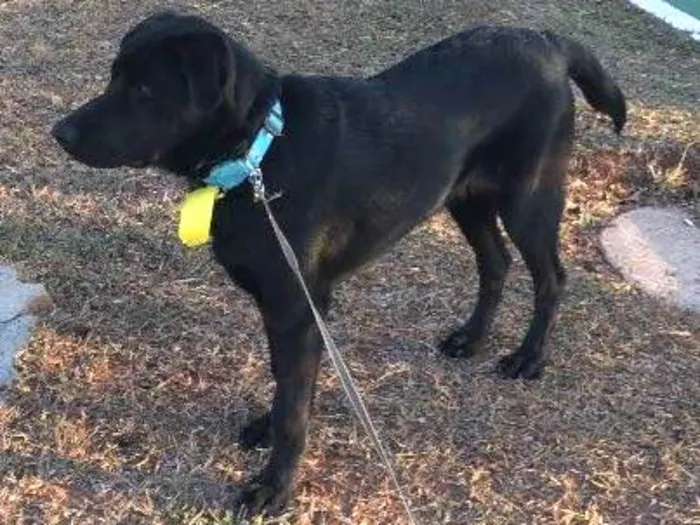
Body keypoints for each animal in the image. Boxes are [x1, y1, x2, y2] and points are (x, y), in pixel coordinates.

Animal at [52, 12, 626, 516]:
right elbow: (285, 382)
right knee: (496, 263)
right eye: (114, 77)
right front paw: (265, 429)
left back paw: (528, 358)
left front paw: (273, 490)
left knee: (551, 276)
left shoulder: (299, 309)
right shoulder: (288, 311)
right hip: (465, 196)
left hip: (527, 199)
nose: (60, 132)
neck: (259, 155)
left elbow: (294, 407)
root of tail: (549, 41)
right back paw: (471, 339)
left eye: (145, 91)